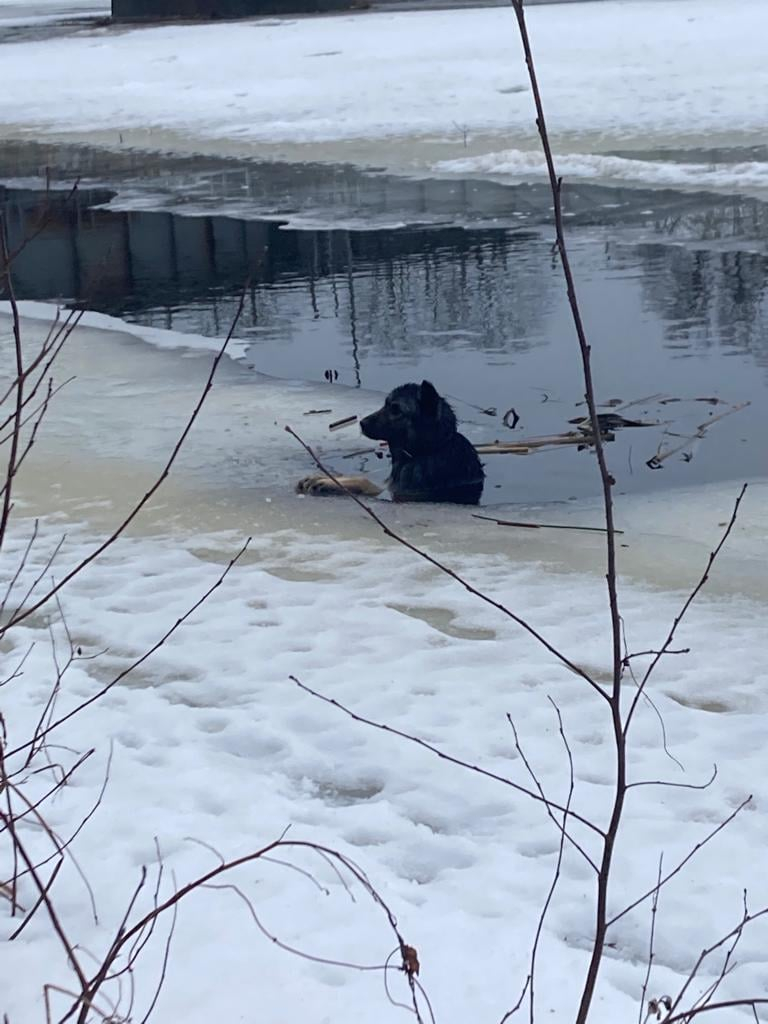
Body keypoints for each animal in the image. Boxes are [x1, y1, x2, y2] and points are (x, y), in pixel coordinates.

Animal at [296, 380, 483, 503]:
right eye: (385, 404)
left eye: (395, 409)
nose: (362, 423)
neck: (429, 449)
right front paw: (323, 476)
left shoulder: (400, 492)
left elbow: (366, 482)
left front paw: (327, 483)